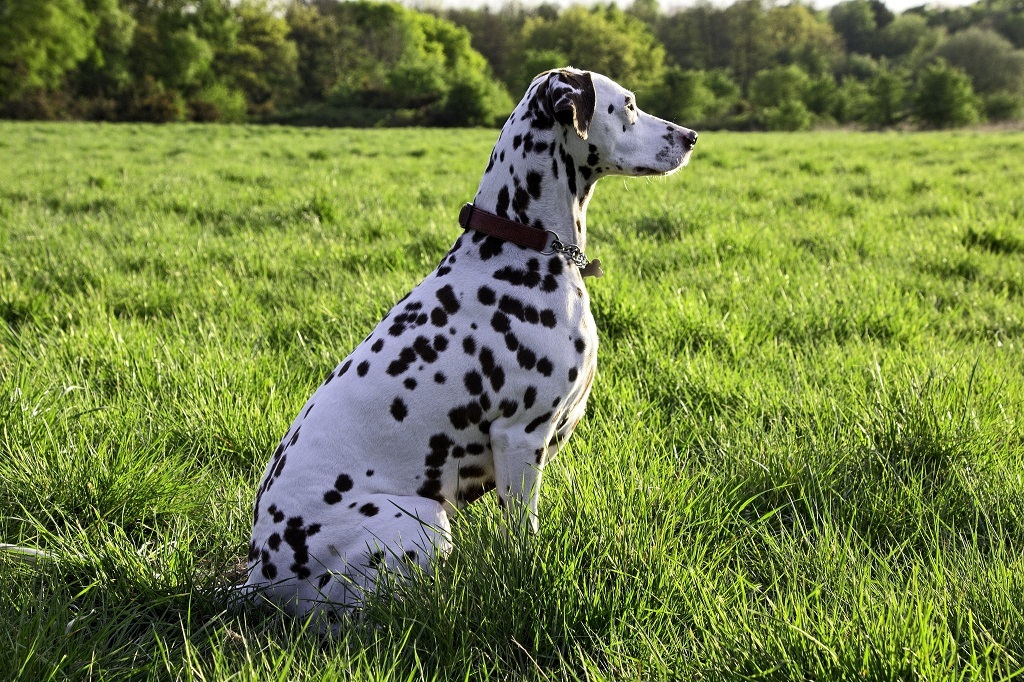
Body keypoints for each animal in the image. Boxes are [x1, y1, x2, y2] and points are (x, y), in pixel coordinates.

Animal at [243, 67, 700, 622]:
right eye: (628, 105)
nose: (691, 136)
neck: (520, 247)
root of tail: (259, 577)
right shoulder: (520, 437)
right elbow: (523, 538)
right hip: (420, 517)